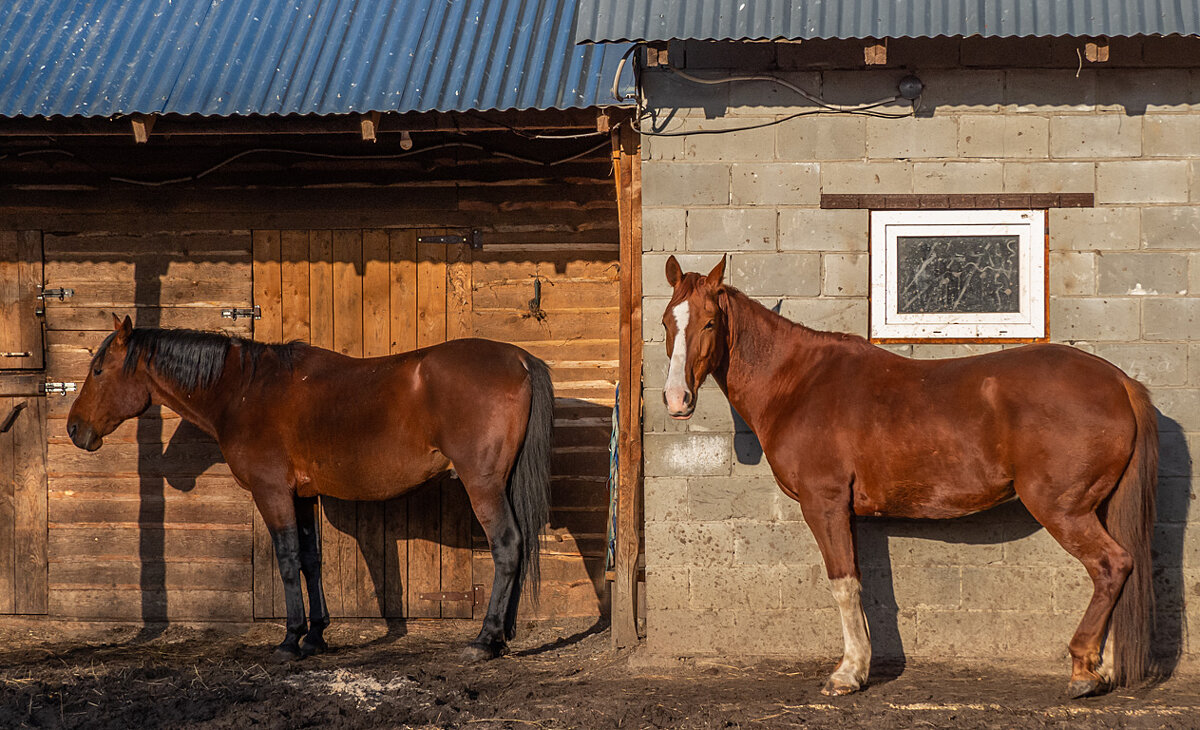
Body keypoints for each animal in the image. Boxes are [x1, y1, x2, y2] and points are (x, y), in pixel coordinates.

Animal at [66, 314, 552, 662]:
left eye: (98, 369)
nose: (75, 430)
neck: (245, 390)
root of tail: (519, 359)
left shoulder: (272, 493)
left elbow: (287, 560)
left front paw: (290, 640)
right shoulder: (303, 496)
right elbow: (312, 560)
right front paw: (317, 636)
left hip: (482, 484)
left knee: (507, 546)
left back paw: (485, 640)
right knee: (521, 545)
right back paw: (503, 636)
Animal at [662, 256, 1156, 696]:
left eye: (710, 323)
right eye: (668, 323)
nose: (676, 399)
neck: (799, 384)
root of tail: (1119, 382)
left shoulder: (824, 504)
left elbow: (843, 584)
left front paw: (848, 674)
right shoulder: (846, 511)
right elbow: (858, 582)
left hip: (1063, 510)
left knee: (1111, 566)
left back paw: (1082, 672)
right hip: (1095, 507)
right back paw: (1102, 668)